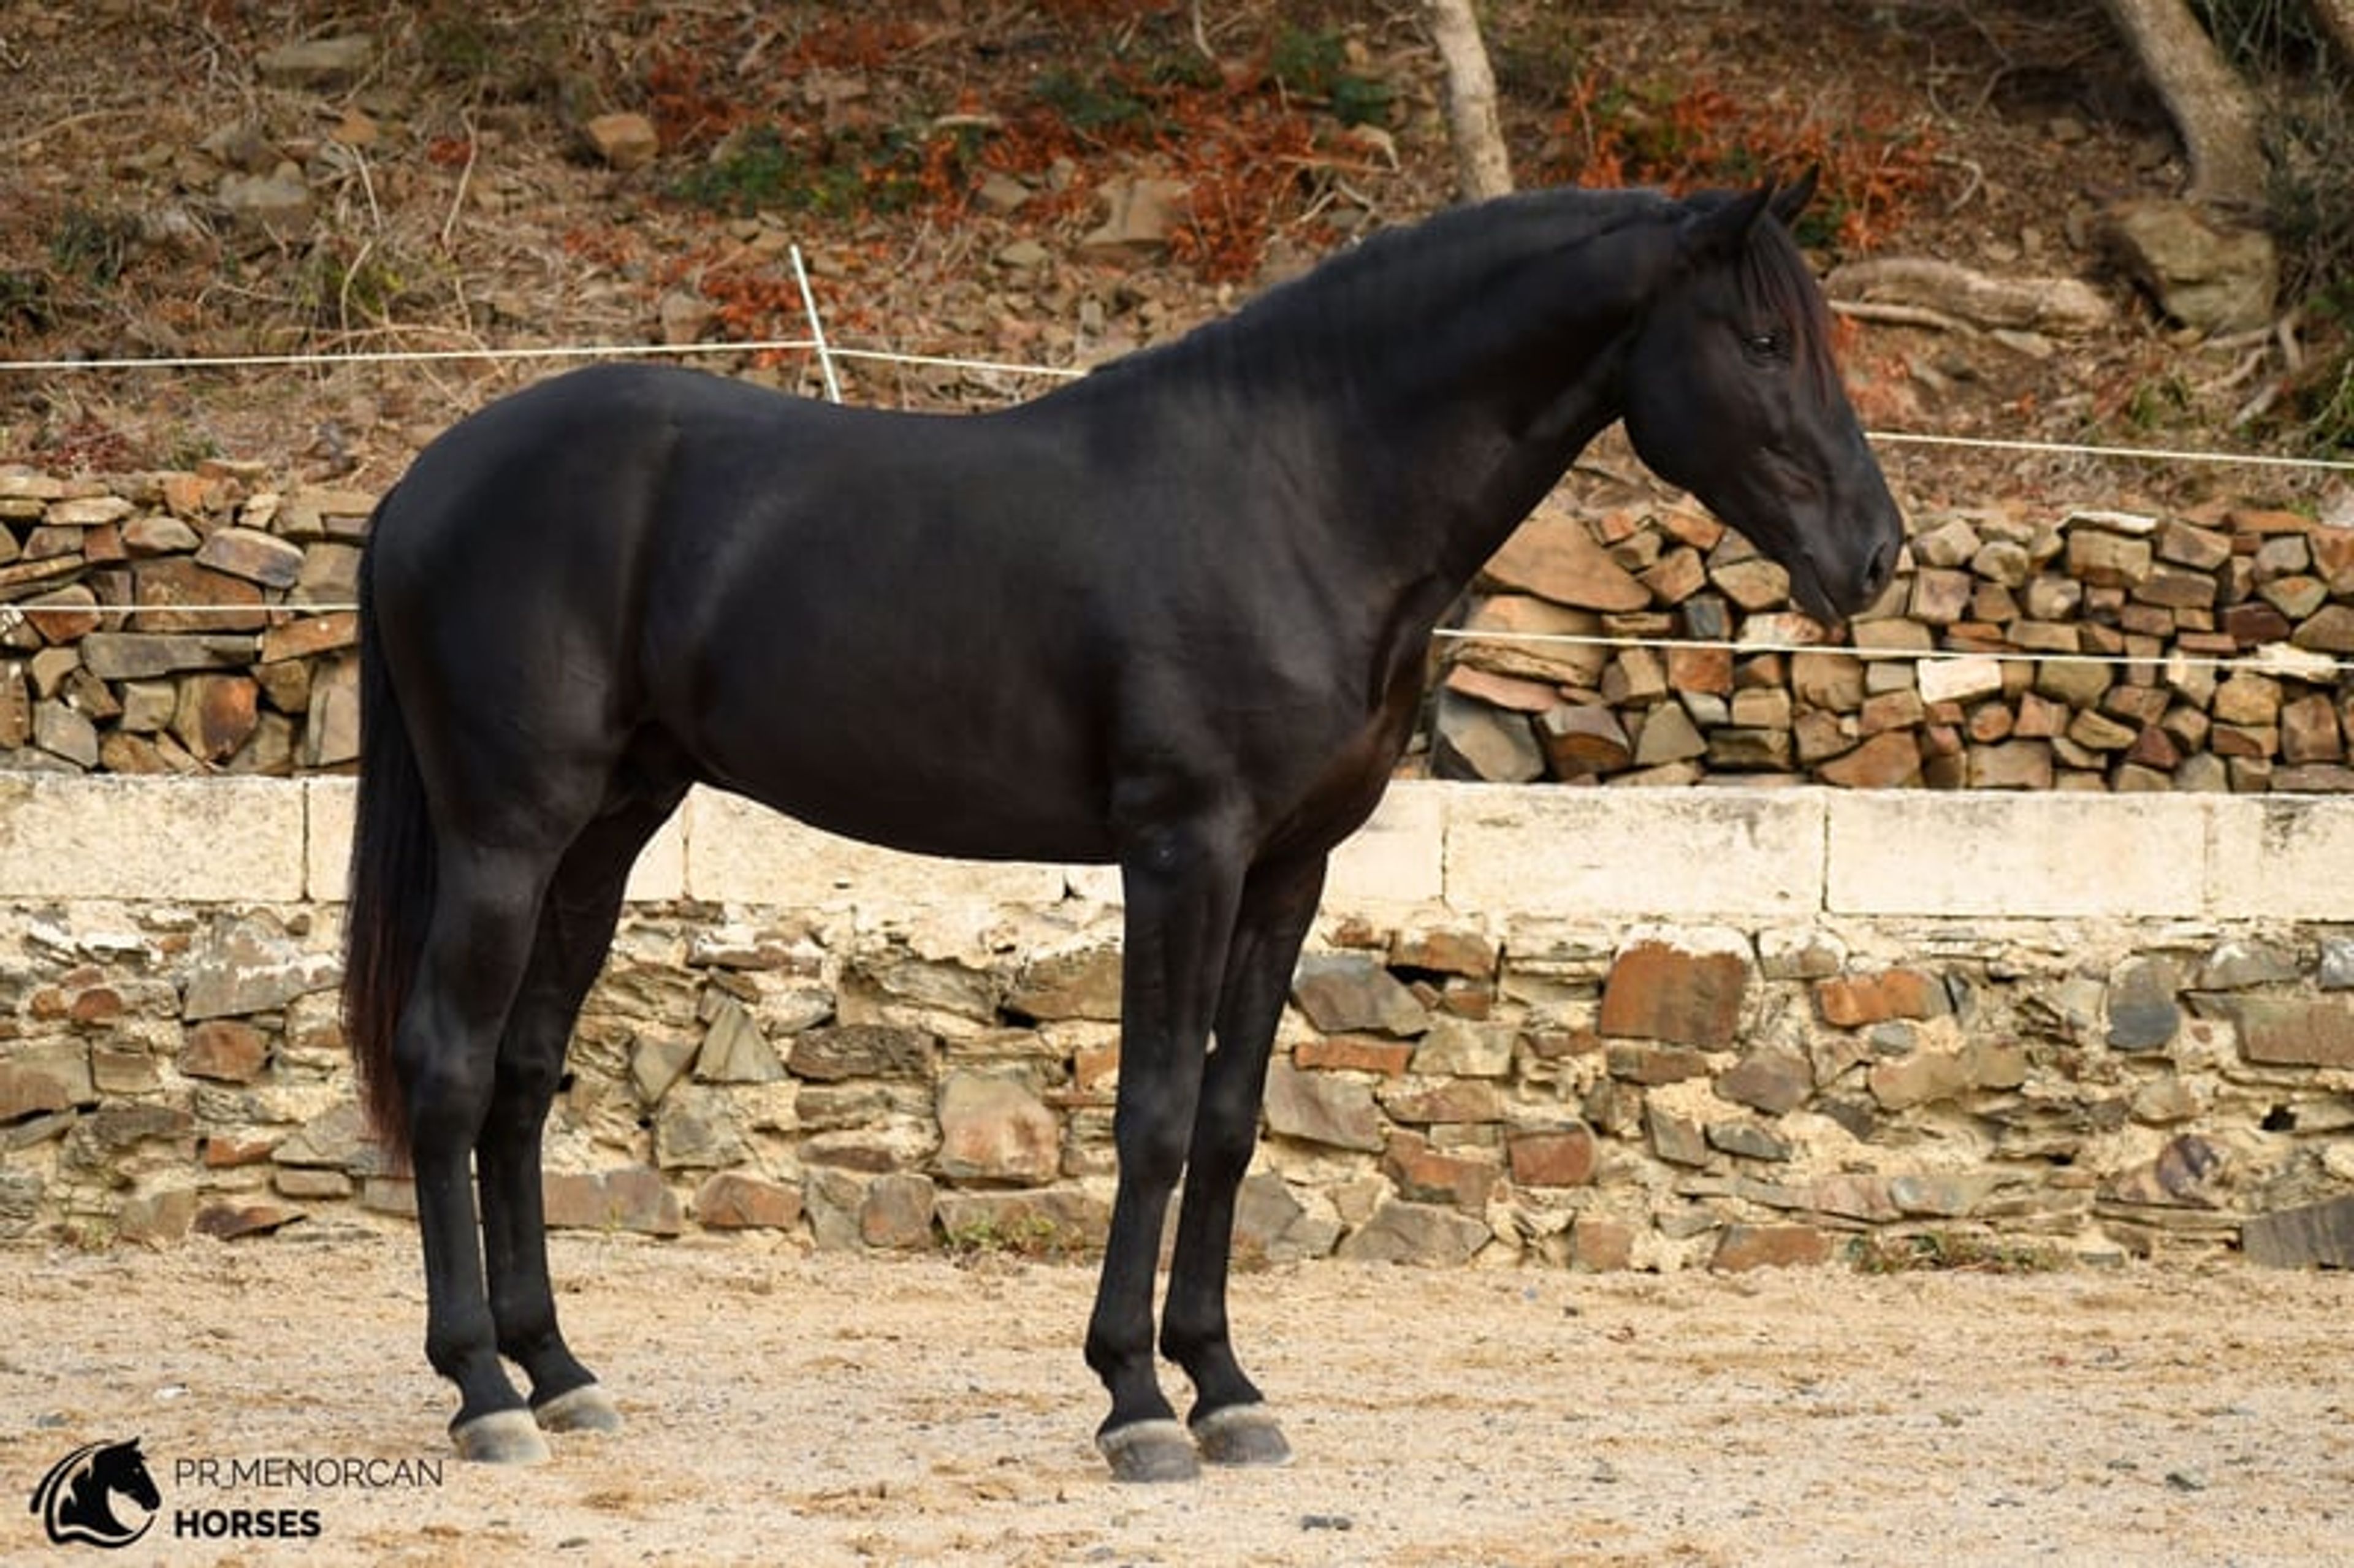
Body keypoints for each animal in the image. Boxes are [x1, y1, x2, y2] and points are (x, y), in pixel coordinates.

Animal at [342, 171, 1903, 1483]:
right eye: (1765, 340)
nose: (1875, 555)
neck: (1302, 493)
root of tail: (424, 483)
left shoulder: (1288, 868)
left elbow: (1228, 1122)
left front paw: (1226, 1387)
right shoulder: (1181, 853)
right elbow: (1150, 1115)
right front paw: (1138, 1402)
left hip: (604, 832)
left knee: (522, 1075)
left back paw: (557, 1371)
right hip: (508, 831)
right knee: (448, 1065)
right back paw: (480, 1389)